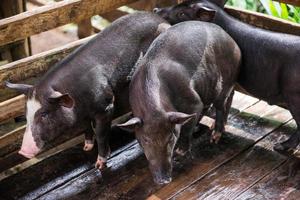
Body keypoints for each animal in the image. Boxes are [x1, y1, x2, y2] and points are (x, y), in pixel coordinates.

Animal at [5, 12, 170, 169]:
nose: (23, 151)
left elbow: (101, 134)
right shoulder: (83, 113)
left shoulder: (106, 106)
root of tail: (160, 19)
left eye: (44, 114)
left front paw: (99, 164)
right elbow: (86, 127)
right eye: (26, 114)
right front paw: (86, 147)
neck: (78, 102)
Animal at [117, 21, 241, 184]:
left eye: (170, 138)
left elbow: (189, 123)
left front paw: (181, 152)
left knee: (220, 104)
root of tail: (233, 41)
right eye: (146, 139)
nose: (163, 180)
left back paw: (215, 136)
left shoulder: (193, 100)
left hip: (226, 79)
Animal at [155, 0, 300, 152]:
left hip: (293, 95)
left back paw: (279, 147)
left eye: (182, 13)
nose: (155, 9)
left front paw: (214, 138)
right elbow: (229, 99)